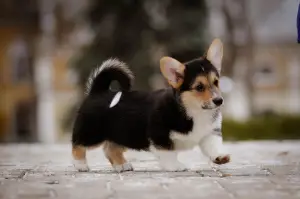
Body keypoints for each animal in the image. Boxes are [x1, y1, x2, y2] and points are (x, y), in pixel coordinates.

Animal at [72, 38, 230, 173]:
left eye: (216, 82)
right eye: (199, 87)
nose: (219, 100)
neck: (194, 111)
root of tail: (98, 91)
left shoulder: (210, 133)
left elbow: (213, 147)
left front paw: (220, 157)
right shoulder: (159, 135)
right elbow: (169, 152)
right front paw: (175, 166)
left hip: (121, 133)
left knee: (110, 148)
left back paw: (122, 165)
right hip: (92, 133)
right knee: (78, 145)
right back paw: (81, 165)